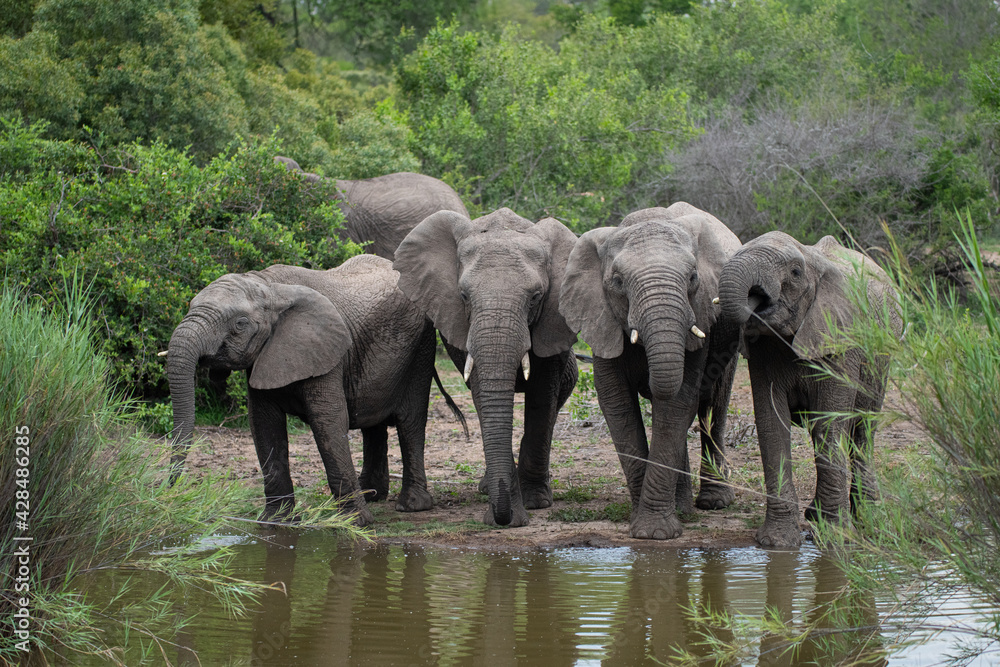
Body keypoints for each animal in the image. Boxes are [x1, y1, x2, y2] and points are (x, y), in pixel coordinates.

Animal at [167, 254, 444, 525]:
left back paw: (411, 505)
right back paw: (371, 494)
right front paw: (276, 522)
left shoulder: (327, 353)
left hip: (421, 347)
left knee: (410, 421)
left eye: (240, 324)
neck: (268, 286)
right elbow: (264, 424)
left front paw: (354, 523)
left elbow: (328, 423)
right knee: (372, 422)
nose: (171, 488)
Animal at [392, 208, 580, 527]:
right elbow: (482, 391)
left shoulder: (552, 321)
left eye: (535, 297)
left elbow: (542, 396)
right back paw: (485, 487)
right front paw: (507, 514)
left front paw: (534, 502)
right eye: (464, 296)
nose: (503, 520)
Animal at [560, 203, 742, 540]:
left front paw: (655, 533)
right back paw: (683, 507)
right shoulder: (601, 318)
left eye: (693, 277)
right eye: (618, 281)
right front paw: (645, 524)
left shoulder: (700, 317)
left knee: (713, 405)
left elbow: (676, 405)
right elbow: (618, 405)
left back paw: (713, 502)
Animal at [717, 231, 903, 547]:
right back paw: (816, 514)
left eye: (794, 272)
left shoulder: (841, 340)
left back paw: (866, 514)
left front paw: (836, 539)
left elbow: (830, 424)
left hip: (881, 358)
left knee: (862, 429)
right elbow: (771, 424)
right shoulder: (764, 350)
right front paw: (777, 543)